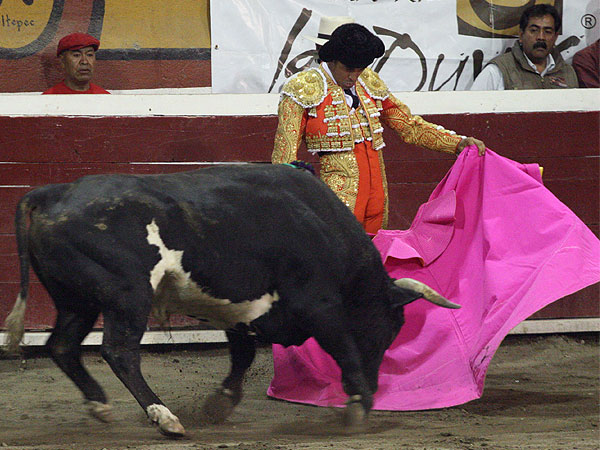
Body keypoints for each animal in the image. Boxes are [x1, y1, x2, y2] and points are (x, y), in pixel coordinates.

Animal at [3, 164, 460, 436]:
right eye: (389, 328)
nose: (379, 386)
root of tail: (55, 193)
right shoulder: (320, 306)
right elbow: (344, 348)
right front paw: (359, 404)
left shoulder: (238, 311)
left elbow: (241, 355)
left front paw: (219, 403)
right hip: (127, 295)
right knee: (119, 351)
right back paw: (165, 418)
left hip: (76, 301)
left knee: (63, 346)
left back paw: (100, 406)